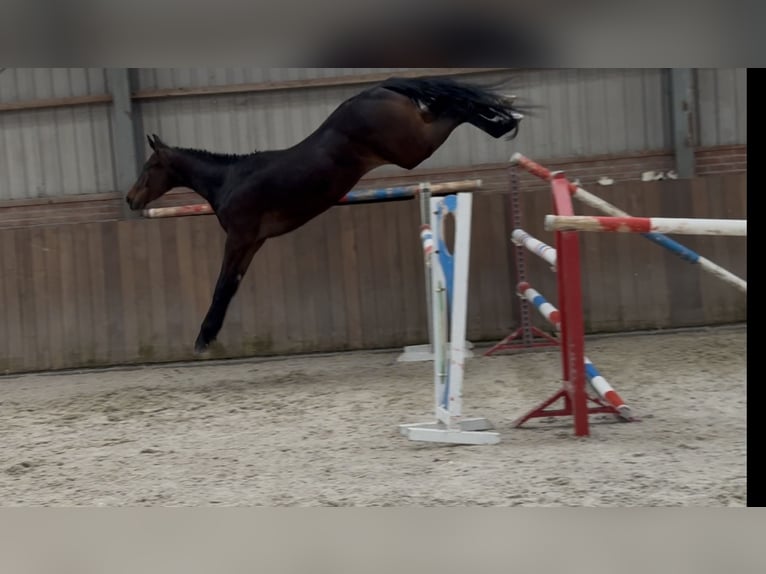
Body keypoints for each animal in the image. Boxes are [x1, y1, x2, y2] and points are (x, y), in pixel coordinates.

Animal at [125, 75, 526, 354]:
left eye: (149, 168)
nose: (130, 199)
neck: (230, 181)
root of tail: (377, 89)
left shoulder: (239, 239)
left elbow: (221, 286)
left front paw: (203, 338)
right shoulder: (253, 243)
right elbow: (230, 287)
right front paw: (208, 336)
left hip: (412, 149)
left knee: (456, 110)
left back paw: (505, 119)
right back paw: (505, 116)